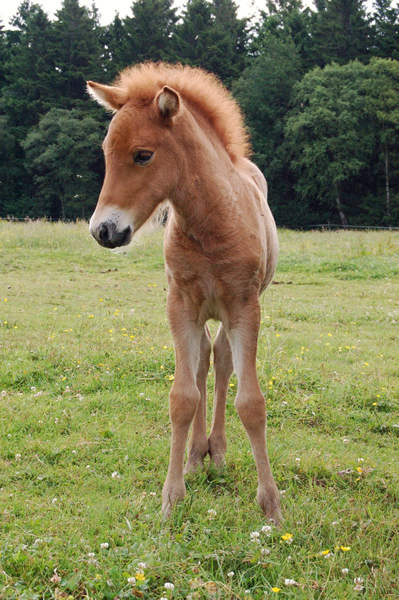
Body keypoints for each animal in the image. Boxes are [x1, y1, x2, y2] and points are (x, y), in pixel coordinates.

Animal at [87, 63, 282, 524]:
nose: (104, 230)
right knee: (203, 363)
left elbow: (252, 403)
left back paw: (218, 453)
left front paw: (271, 505)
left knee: (223, 363)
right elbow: (182, 397)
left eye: (143, 155)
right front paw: (171, 497)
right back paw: (197, 455)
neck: (211, 219)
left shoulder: (245, 307)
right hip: (201, 314)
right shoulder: (180, 305)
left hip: (227, 314)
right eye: (106, 152)